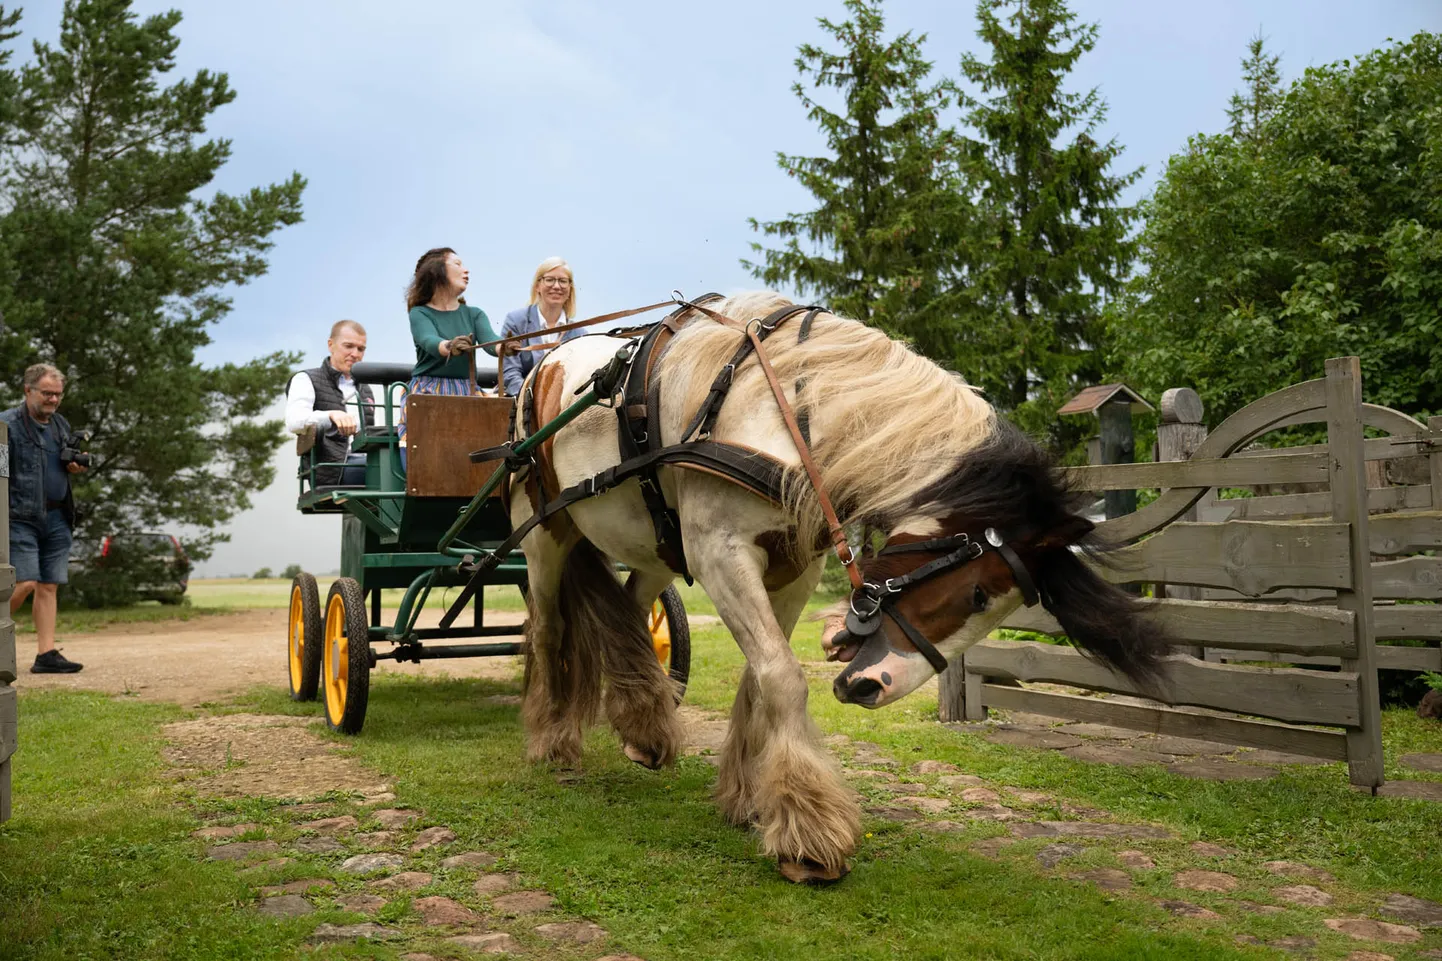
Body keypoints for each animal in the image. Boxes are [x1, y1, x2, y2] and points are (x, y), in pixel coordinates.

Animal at [501, 290, 1165, 883]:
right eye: (977, 594)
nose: (874, 687)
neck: (786, 412)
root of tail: (547, 363)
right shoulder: (720, 553)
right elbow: (782, 677)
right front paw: (808, 832)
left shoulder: (795, 566)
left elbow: (758, 677)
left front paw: (750, 796)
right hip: (545, 535)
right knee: (550, 629)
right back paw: (552, 740)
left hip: (658, 546)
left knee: (629, 610)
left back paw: (642, 728)